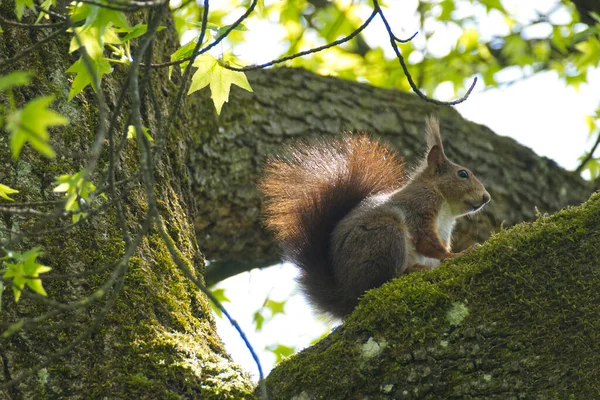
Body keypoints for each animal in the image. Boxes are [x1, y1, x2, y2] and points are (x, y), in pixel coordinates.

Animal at [260, 115, 490, 318]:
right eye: (462, 174)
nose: (486, 198)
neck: (446, 208)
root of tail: (347, 295)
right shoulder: (420, 210)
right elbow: (428, 244)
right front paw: (459, 254)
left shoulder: (443, 230)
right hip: (385, 235)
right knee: (378, 283)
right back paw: (410, 270)